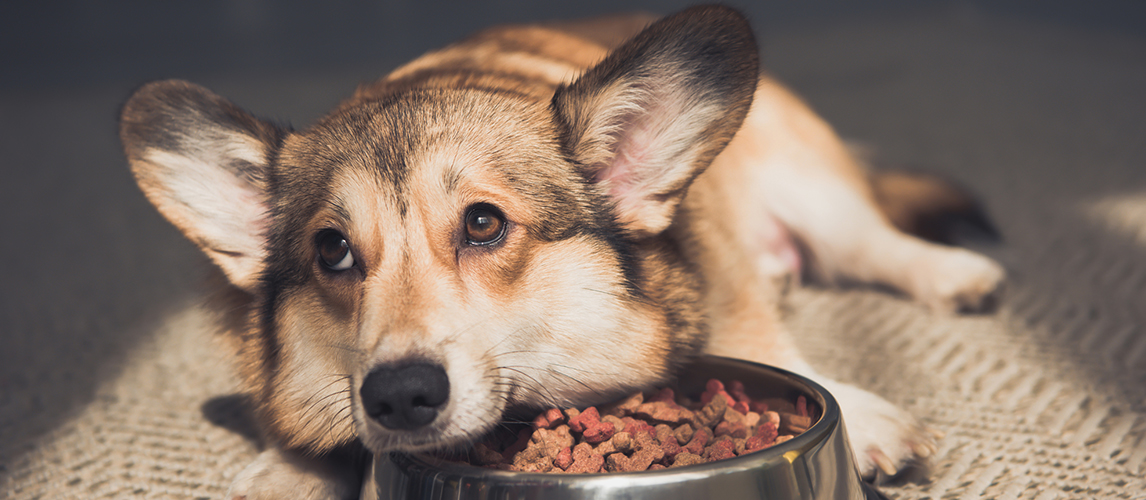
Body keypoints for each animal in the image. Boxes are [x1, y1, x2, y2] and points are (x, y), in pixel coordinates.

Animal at [118, 5, 1003, 497]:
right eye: (333, 251)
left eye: (483, 225)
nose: (400, 397)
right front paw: (287, 474)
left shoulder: (724, 276)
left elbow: (764, 341)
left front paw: (865, 415)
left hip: (811, 187)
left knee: (875, 243)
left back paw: (954, 274)